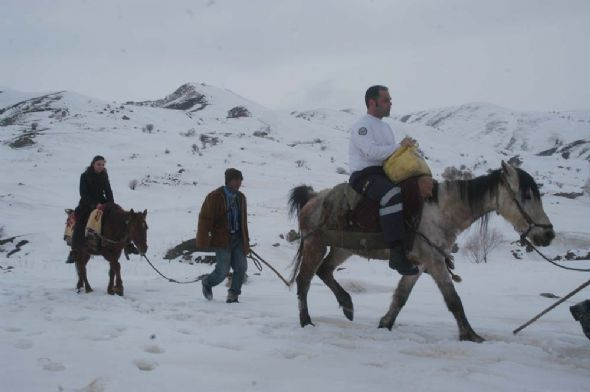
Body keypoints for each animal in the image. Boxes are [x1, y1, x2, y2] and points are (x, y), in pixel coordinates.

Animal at [290, 161, 556, 342]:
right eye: (526, 194)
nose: (548, 235)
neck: (441, 211)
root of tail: (312, 198)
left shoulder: (418, 265)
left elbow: (401, 297)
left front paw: (385, 324)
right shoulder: (435, 260)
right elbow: (453, 300)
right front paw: (470, 335)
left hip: (343, 248)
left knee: (325, 272)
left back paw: (347, 306)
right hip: (316, 245)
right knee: (304, 281)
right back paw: (306, 321)